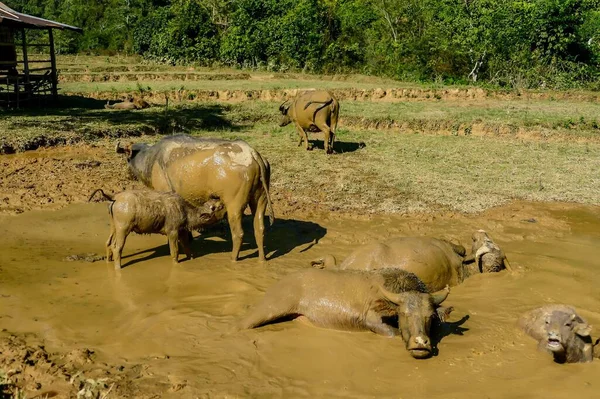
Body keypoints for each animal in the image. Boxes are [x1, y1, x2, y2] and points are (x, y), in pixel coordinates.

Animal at [91, 189, 225, 270]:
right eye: (217, 207)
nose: (222, 202)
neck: (185, 211)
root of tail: (115, 197)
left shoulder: (182, 231)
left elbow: (187, 248)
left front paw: (191, 258)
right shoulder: (172, 232)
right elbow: (175, 251)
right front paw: (176, 264)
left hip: (114, 226)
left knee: (108, 243)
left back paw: (109, 261)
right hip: (123, 228)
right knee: (116, 247)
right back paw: (118, 267)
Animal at [115, 136, 274, 264]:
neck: (152, 159)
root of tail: (252, 153)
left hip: (234, 206)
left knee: (238, 234)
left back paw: (233, 259)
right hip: (260, 200)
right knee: (260, 229)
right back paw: (262, 259)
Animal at [237, 268, 452, 360]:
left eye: (430, 317)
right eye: (404, 314)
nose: (420, 342)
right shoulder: (372, 321)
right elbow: (392, 332)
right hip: (270, 307)